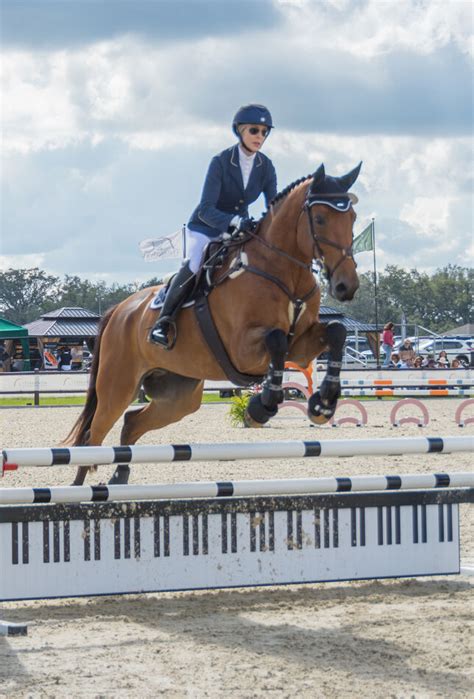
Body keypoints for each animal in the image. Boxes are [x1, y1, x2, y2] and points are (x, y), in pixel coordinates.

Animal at [66, 163, 362, 486]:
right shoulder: (244, 350)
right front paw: (260, 408)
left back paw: (119, 476)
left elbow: (336, 332)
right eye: (319, 219)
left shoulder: (301, 345)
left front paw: (323, 404)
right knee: (92, 436)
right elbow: (276, 340)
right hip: (117, 386)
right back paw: (79, 489)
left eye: (352, 218)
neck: (284, 271)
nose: (346, 286)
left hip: (178, 396)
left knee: (131, 422)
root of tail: (118, 310)